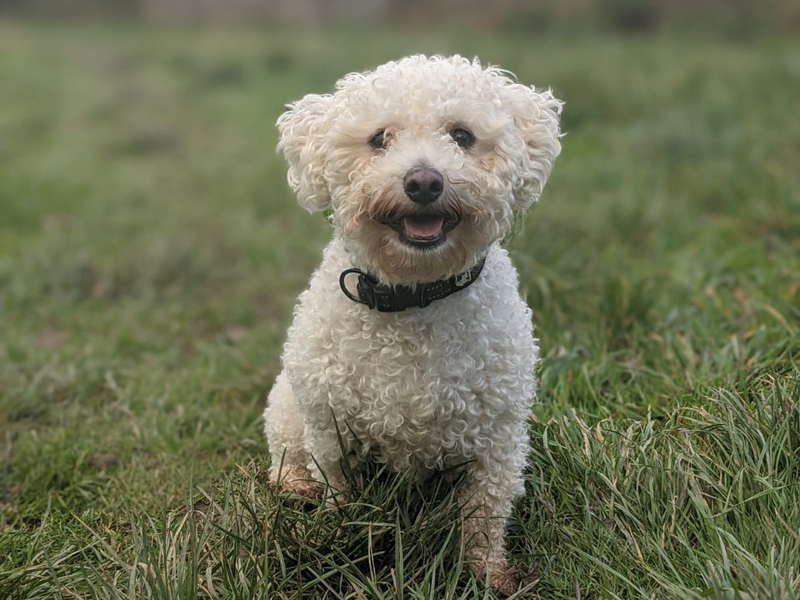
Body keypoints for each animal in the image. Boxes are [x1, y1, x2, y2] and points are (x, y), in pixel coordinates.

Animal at [264, 55, 564, 596]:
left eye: (462, 135)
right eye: (379, 138)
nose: (424, 182)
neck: (414, 297)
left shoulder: (498, 442)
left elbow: (484, 513)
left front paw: (487, 574)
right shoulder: (331, 430)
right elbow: (341, 497)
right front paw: (341, 537)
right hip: (288, 408)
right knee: (284, 456)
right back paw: (294, 486)